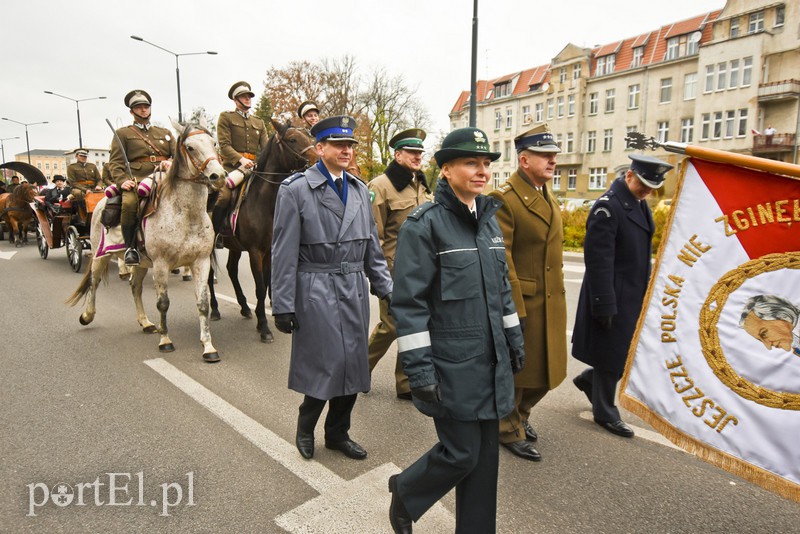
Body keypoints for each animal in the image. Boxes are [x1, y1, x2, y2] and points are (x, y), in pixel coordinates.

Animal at [209, 119, 318, 344]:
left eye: (310, 137)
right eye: (292, 139)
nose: (317, 159)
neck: (264, 202)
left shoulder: (269, 251)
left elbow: (267, 282)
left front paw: (264, 320)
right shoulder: (255, 252)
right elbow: (260, 287)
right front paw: (265, 326)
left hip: (235, 247)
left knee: (231, 269)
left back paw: (243, 306)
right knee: (209, 276)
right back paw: (214, 309)